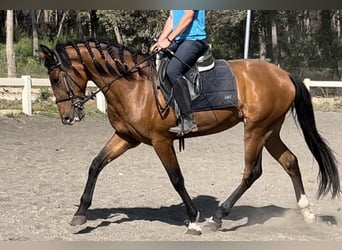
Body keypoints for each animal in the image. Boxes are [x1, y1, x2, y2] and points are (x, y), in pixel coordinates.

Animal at [38, 38, 340, 234]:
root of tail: (284, 74)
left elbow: (176, 178)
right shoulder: (125, 137)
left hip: (256, 130)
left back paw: (217, 217)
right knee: (290, 161)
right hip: (270, 131)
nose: (67, 118)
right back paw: (307, 213)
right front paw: (80, 214)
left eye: (55, 78)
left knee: (251, 172)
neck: (133, 86)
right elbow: (96, 165)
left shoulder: (161, 141)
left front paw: (194, 219)